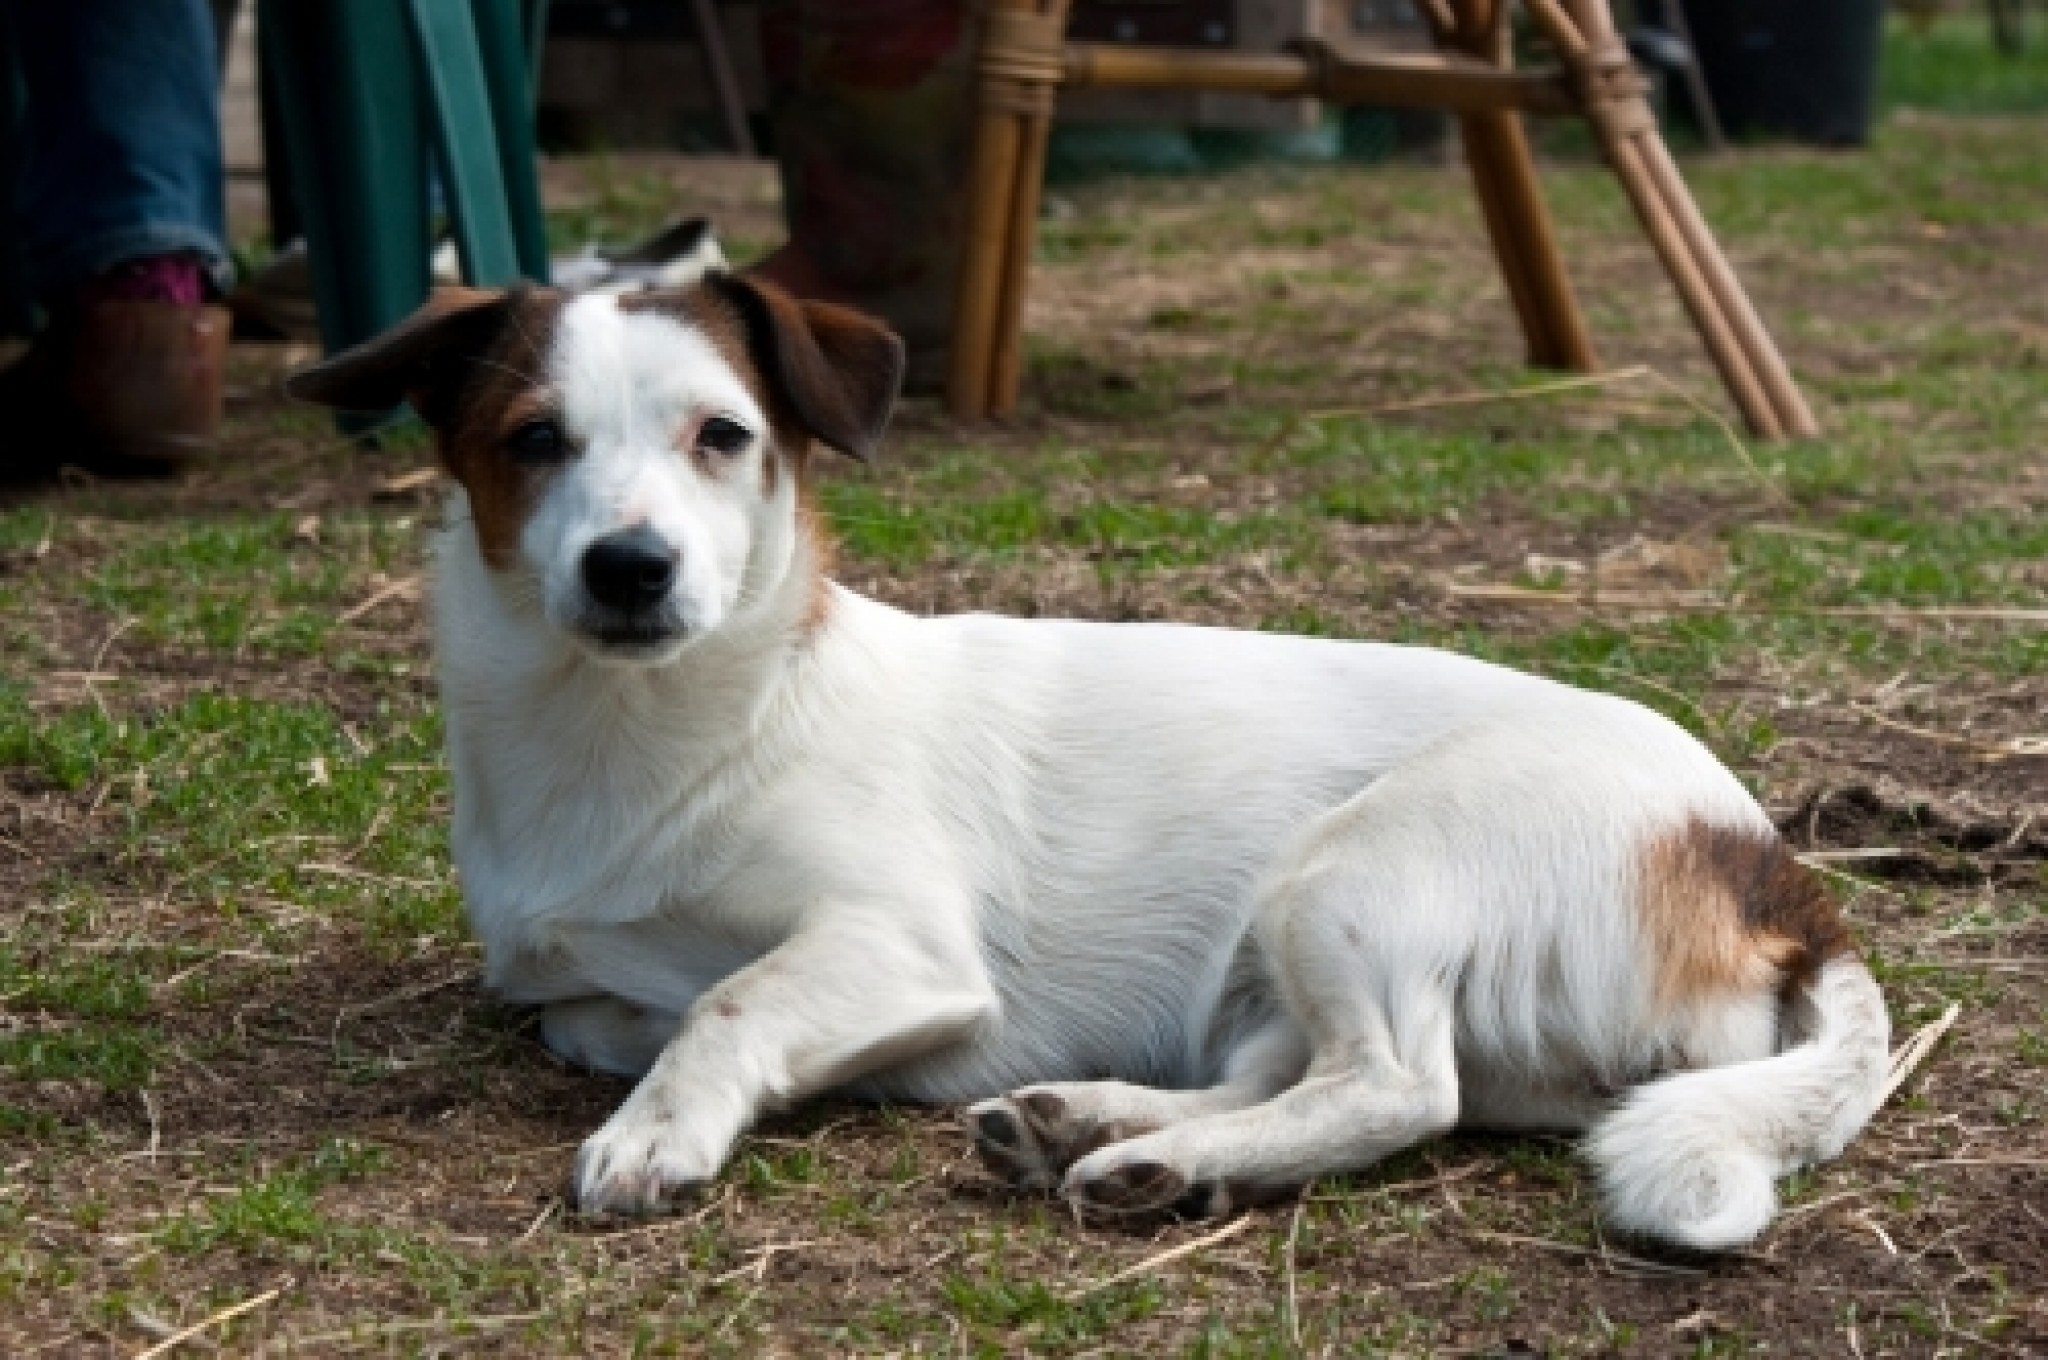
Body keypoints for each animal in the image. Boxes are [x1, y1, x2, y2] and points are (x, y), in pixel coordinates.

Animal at [288, 278, 1884, 1253]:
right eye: (532, 441)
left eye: (722, 436)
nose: (631, 568)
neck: (657, 729)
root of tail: (1776, 875)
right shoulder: (568, 988)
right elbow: (604, 1014)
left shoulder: (903, 944)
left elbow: (726, 1002)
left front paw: (661, 1129)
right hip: (1279, 964)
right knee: (1292, 1074)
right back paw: (1114, 1130)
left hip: (1349, 877)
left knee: (1393, 1089)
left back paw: (1135, 1159)